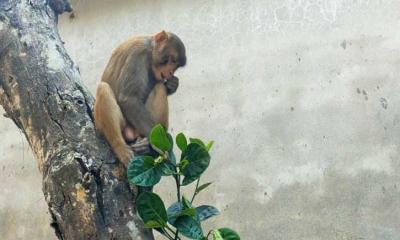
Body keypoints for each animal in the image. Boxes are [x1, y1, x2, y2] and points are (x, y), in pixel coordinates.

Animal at [94, 31, 188, 166]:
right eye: (171, 60)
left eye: (176, 64)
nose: (170, 72)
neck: (150, 51)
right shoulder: (138, 54)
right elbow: (129, 99)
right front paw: (161, 146)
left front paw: (173, 85)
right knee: (103, 88)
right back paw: (120, 146)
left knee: (159, 87)